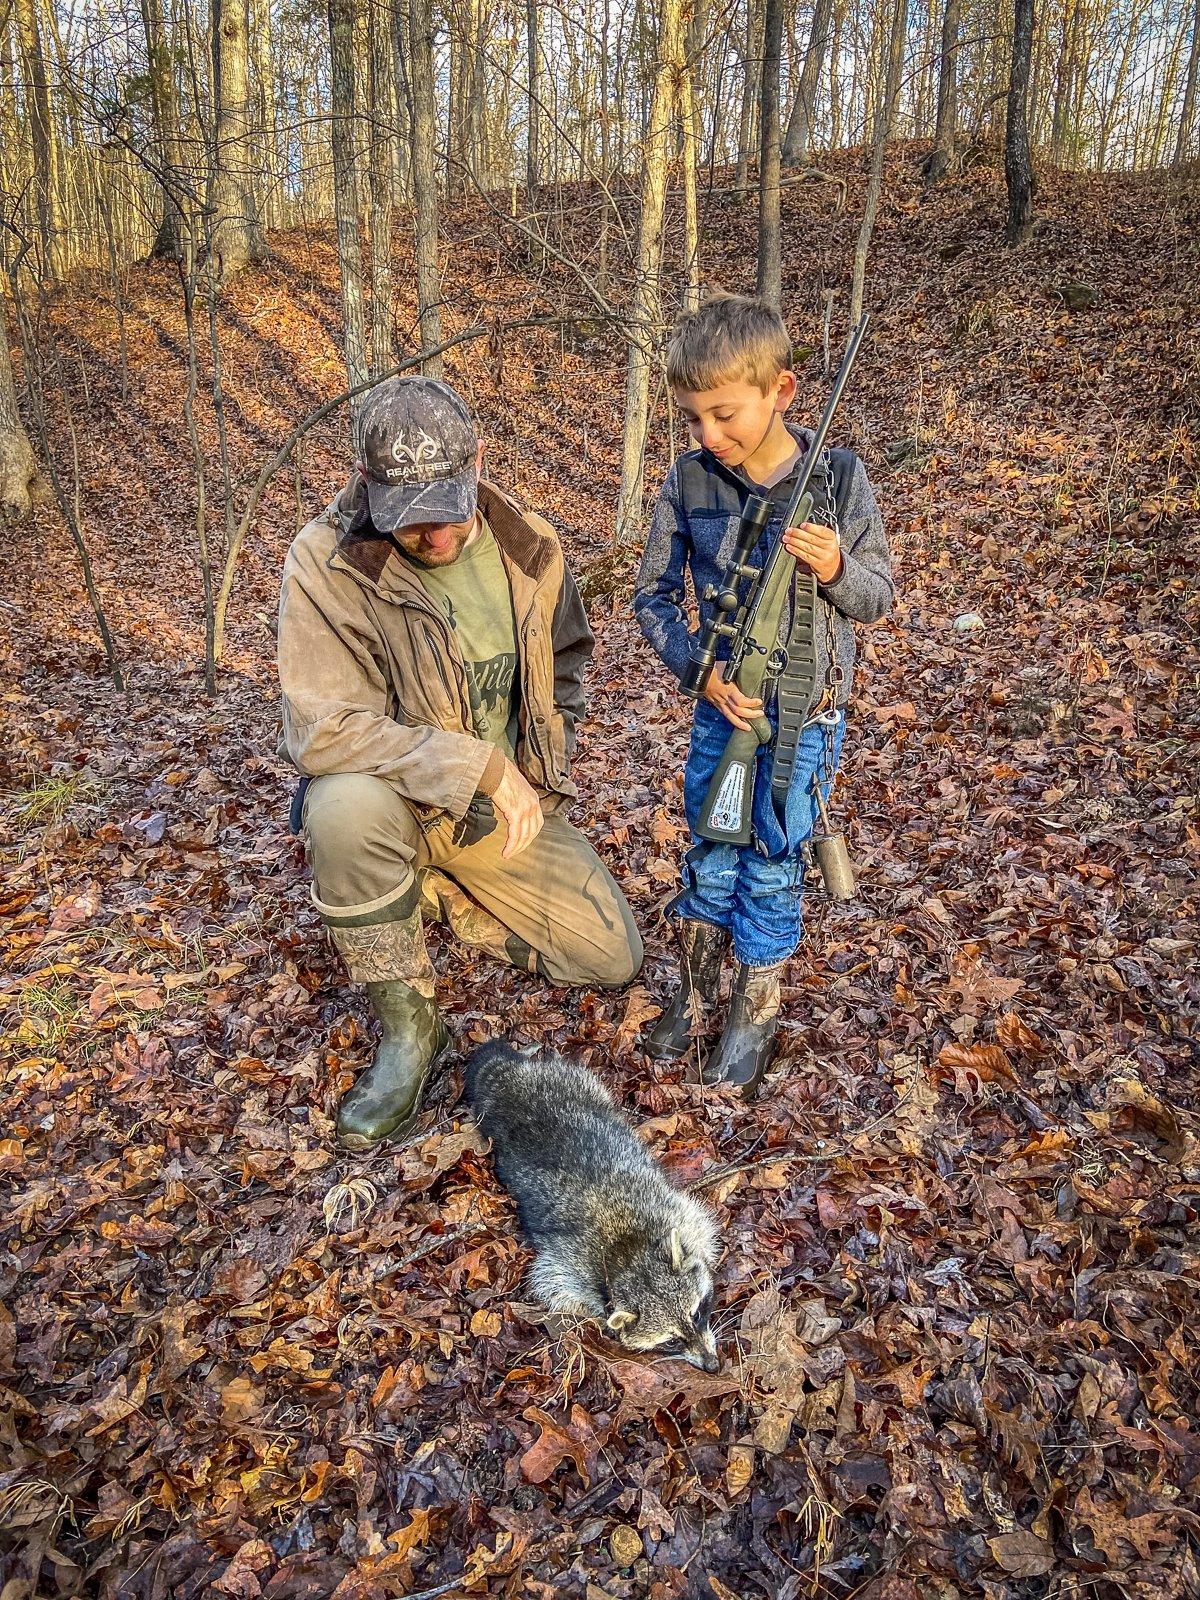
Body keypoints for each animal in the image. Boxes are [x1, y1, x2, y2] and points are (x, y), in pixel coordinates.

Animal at [464, 1036, 720, 1376]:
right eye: (671, 1341)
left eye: (696, 1314)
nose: (713, 1366)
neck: (627, 1252)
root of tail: (510, 1082)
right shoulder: (568, 1266)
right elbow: (557, 1285)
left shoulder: (669, 1208)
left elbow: (699, 1227)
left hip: (575, 1081)